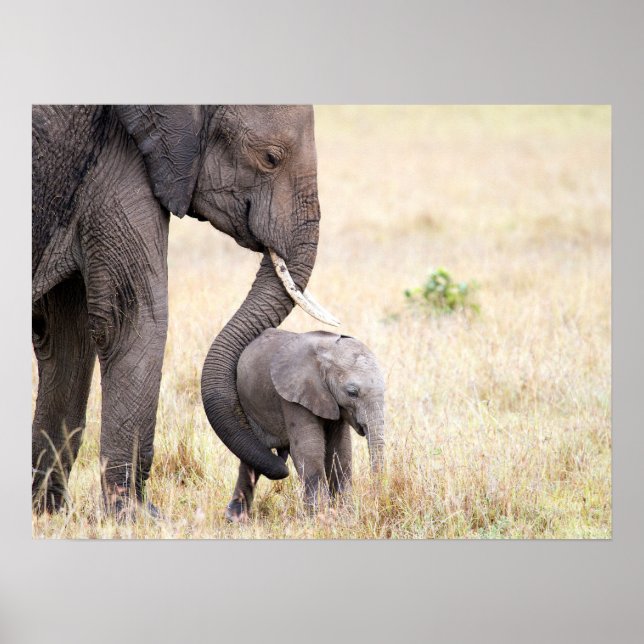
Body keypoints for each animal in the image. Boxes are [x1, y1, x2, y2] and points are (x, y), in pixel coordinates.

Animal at [32, 105, 338, 517]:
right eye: (270, 158)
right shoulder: (119, 156)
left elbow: (68, 337)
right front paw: (138, 516)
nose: (280, 459)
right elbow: (134, 318)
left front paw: (48, 513)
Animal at [224, 329, 386, 522]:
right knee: (253, 454)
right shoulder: (294, 395)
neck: (326, 352)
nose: (376, 498)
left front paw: (344, 514)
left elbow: (340, 452)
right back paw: (235, 519)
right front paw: (319, 517)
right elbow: (309, 450)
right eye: (352, 393)